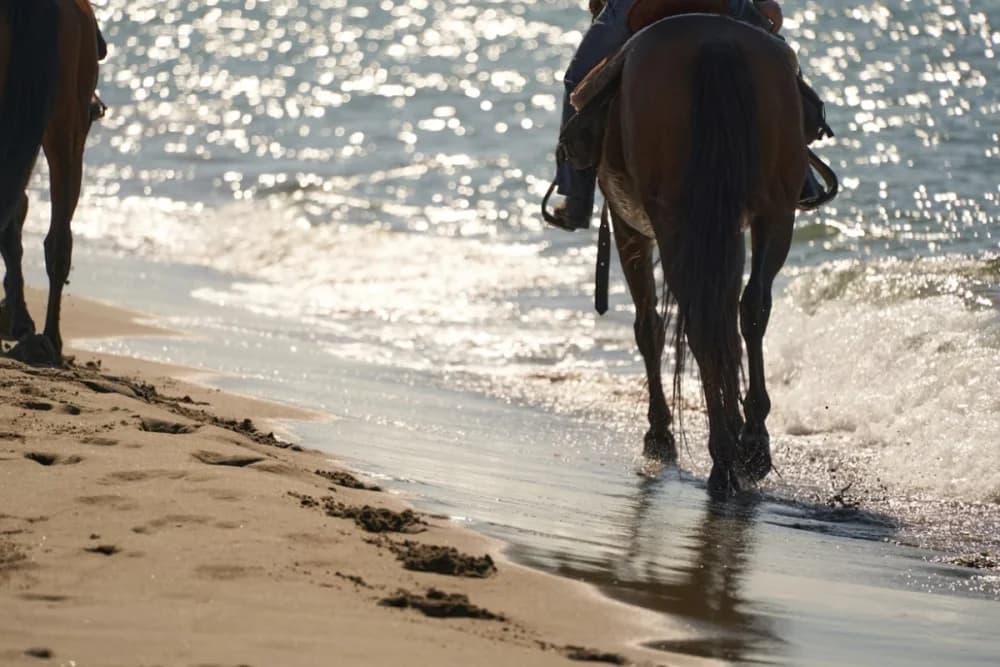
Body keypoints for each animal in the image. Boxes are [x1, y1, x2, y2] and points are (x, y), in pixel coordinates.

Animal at [588, 14, 809, 495]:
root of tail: (713, 42)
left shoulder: (628, 225)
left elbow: (648, 326)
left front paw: (659, 433)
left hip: (676, 221)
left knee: (697, 323)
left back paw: (722, 455)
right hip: (775, 212)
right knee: (749, 307)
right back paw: (752, 445)